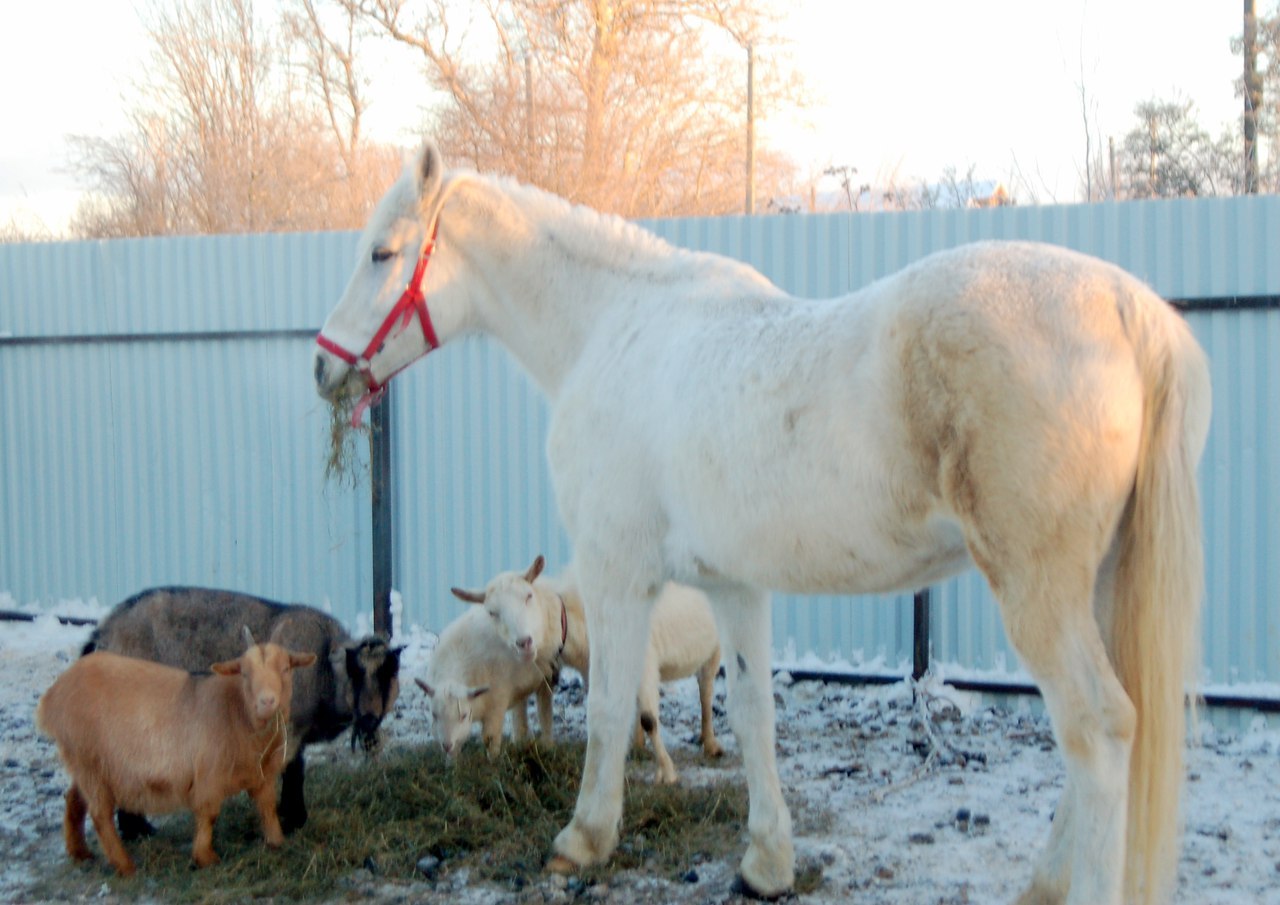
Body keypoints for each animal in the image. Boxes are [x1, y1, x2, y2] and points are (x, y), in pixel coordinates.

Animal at [35, 629, 317, 875]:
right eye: (245, 673)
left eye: (286, 668)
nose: (267, 702)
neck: (235, 709)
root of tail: (51, 697)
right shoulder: (209, 774)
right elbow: (209, 813)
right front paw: (205, 857)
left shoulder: (262, 775)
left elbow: (267, 807)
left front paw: (277, 841)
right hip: (89, 760)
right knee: (100, 814)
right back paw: (125, 866)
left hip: (85, 762)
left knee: (74, 798)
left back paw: (79, 852)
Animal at [83, 588, 401, 834]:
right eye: (354, 671)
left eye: (389, 673)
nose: (370, 720)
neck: (324, 672)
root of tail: (102, 632)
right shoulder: (286, 727)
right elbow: (289, 771)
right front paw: (287, 820)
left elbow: (296, 770)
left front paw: (295, 817)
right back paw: (135, 830)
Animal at [453, 555, 721, 783]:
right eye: (492, 613)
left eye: (528, 596)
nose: (524, 643)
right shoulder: (593, 670)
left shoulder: (644, 661)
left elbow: (649, 720)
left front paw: (667, 772)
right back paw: (638, 745)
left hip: (716, 647)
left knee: (706, 690)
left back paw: (711, 744)